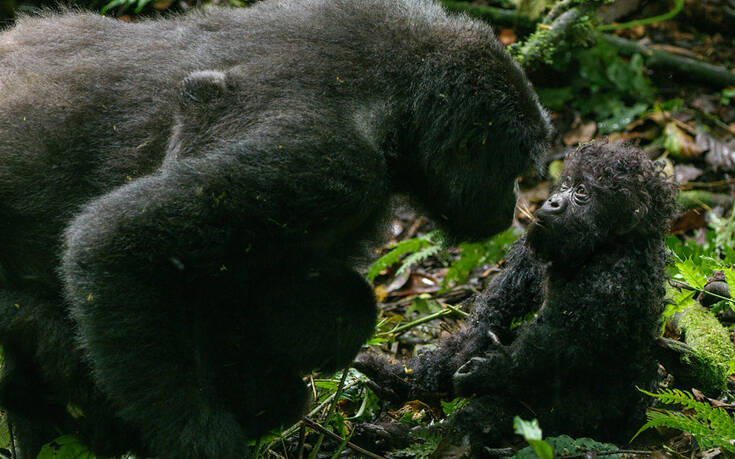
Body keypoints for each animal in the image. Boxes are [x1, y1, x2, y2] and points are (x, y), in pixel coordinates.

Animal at [0, 0, 552, 456]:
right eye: (512, 166)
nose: (512, 205)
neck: (402, 92)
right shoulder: (322, 160)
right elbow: (116, 242)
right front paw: (203, 442)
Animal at [356, 143, 680, 452]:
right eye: (566, 184)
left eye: (582, 192)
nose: (553, 202)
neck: (603, 245)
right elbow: (503, 299)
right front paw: (468, 349)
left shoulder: (613, 278)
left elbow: (551, 348)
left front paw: (486, 372)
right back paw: (392, 379)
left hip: (592, 421)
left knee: (496, 410)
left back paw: (413, 437)